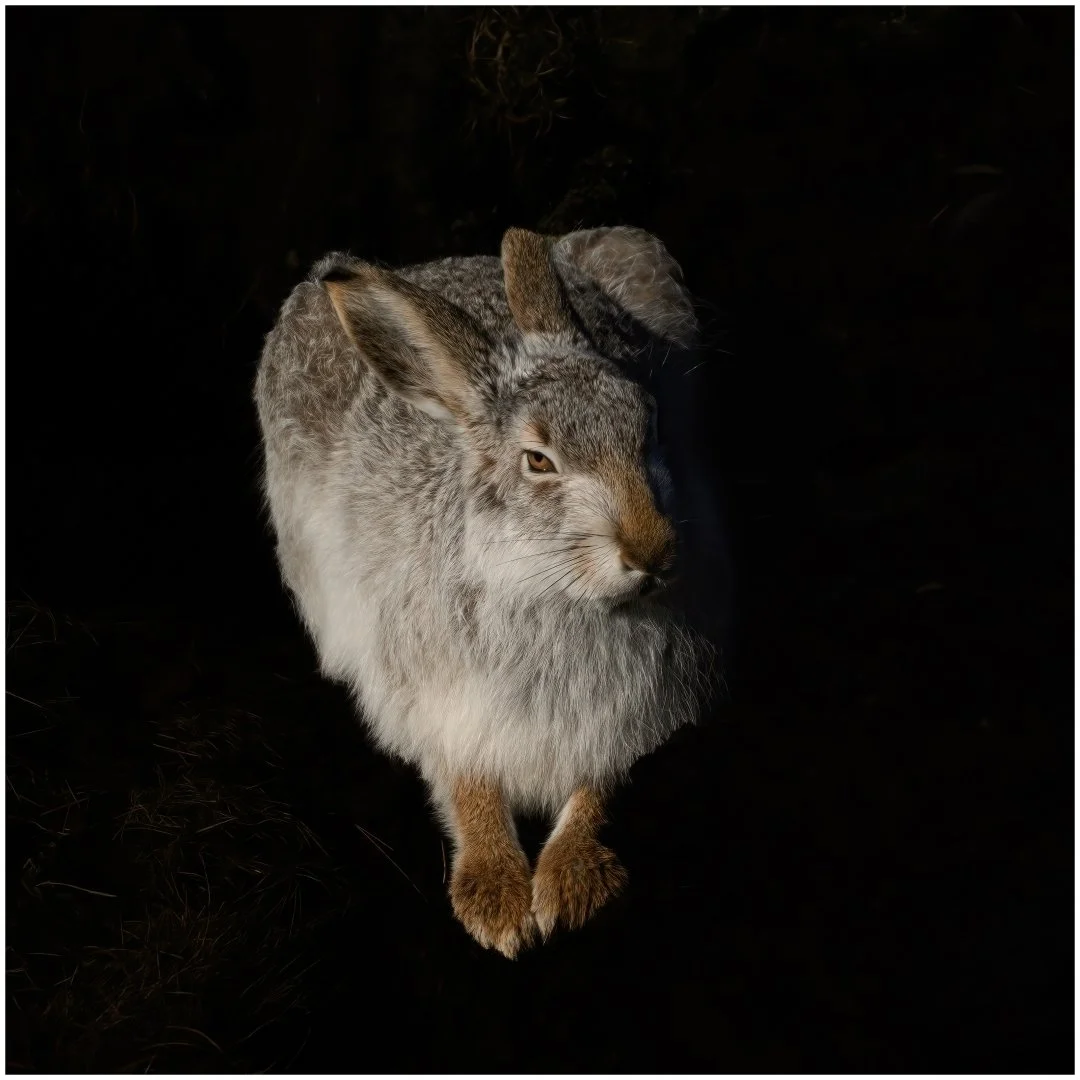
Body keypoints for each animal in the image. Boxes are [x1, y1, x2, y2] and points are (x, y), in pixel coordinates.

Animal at [254, 225, 723, 958]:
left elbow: (598, 786)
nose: (652, 550)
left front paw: (569, 883)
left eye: (648, 429)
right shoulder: (434, 699)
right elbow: (465, 783)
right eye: (538, 461)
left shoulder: (627, 722)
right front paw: (497, 899)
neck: (553, 590)